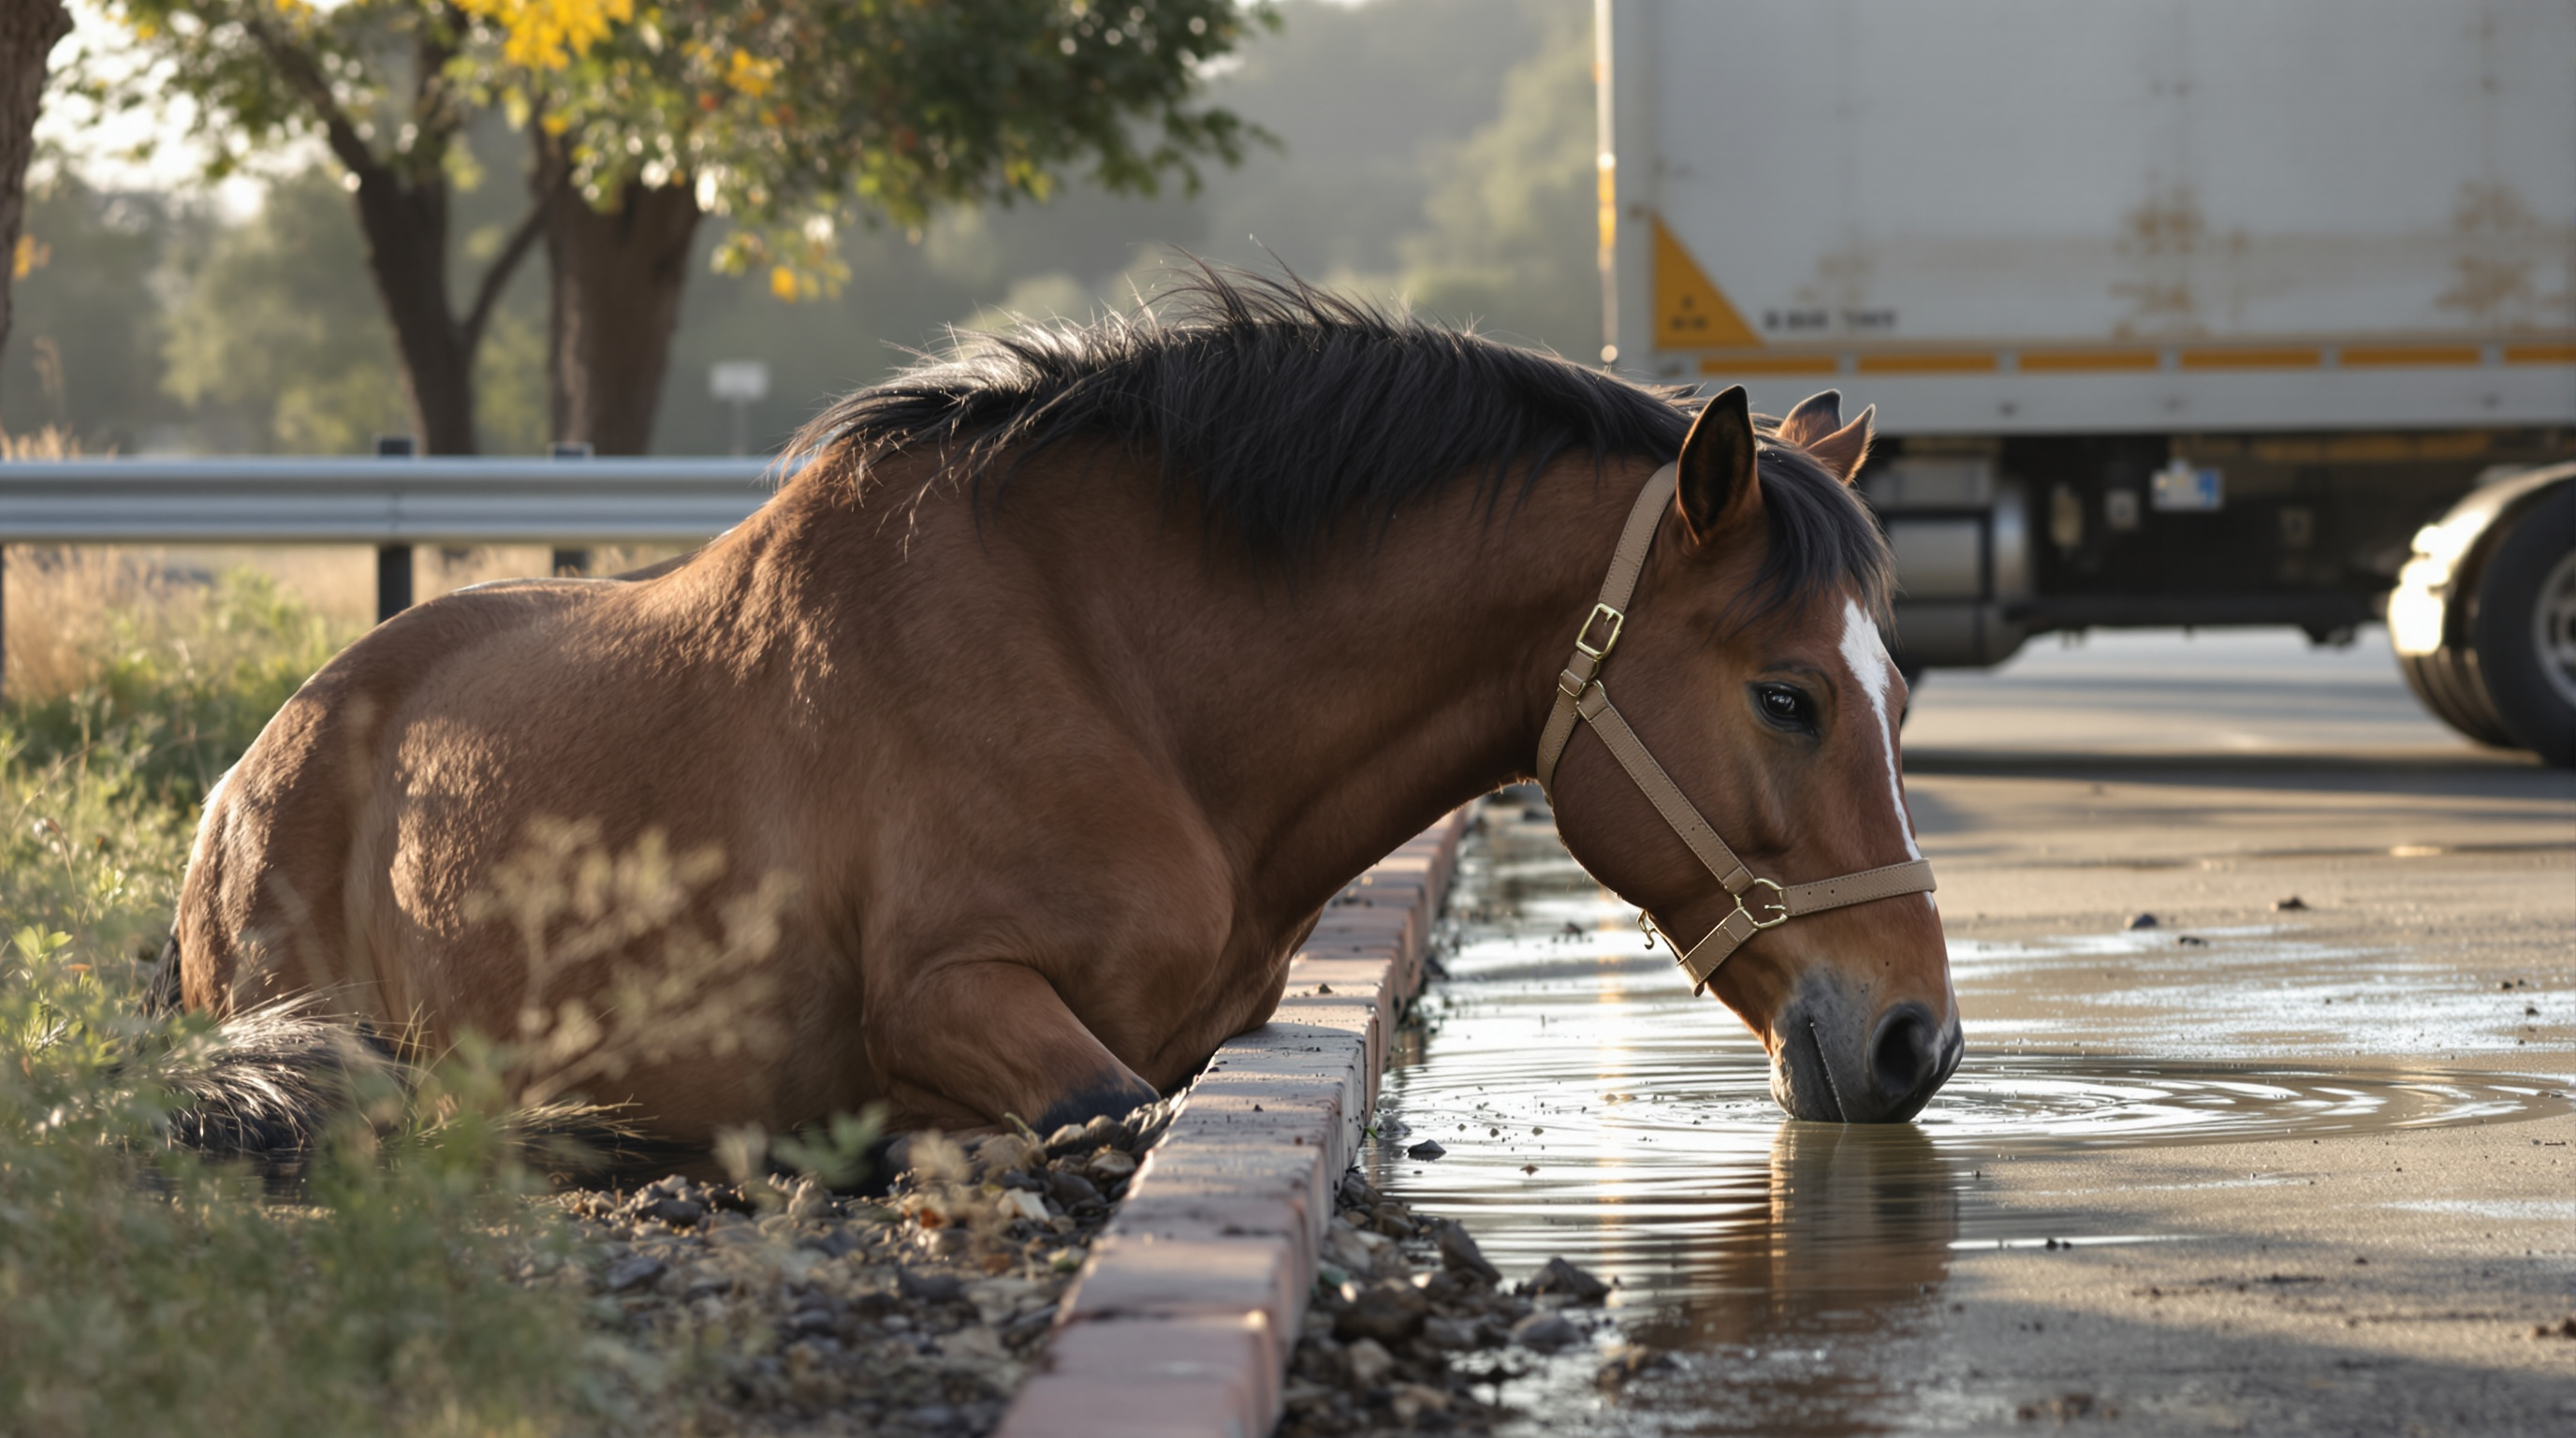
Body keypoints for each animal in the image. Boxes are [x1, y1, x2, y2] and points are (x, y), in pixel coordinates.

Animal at [167, 274, 1959, 1168]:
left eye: (1898, 690)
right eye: (1787, 696)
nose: (1916, 1041)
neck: (1121, 685)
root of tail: (248, 774)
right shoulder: (950, 992)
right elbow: (1092, 1113)